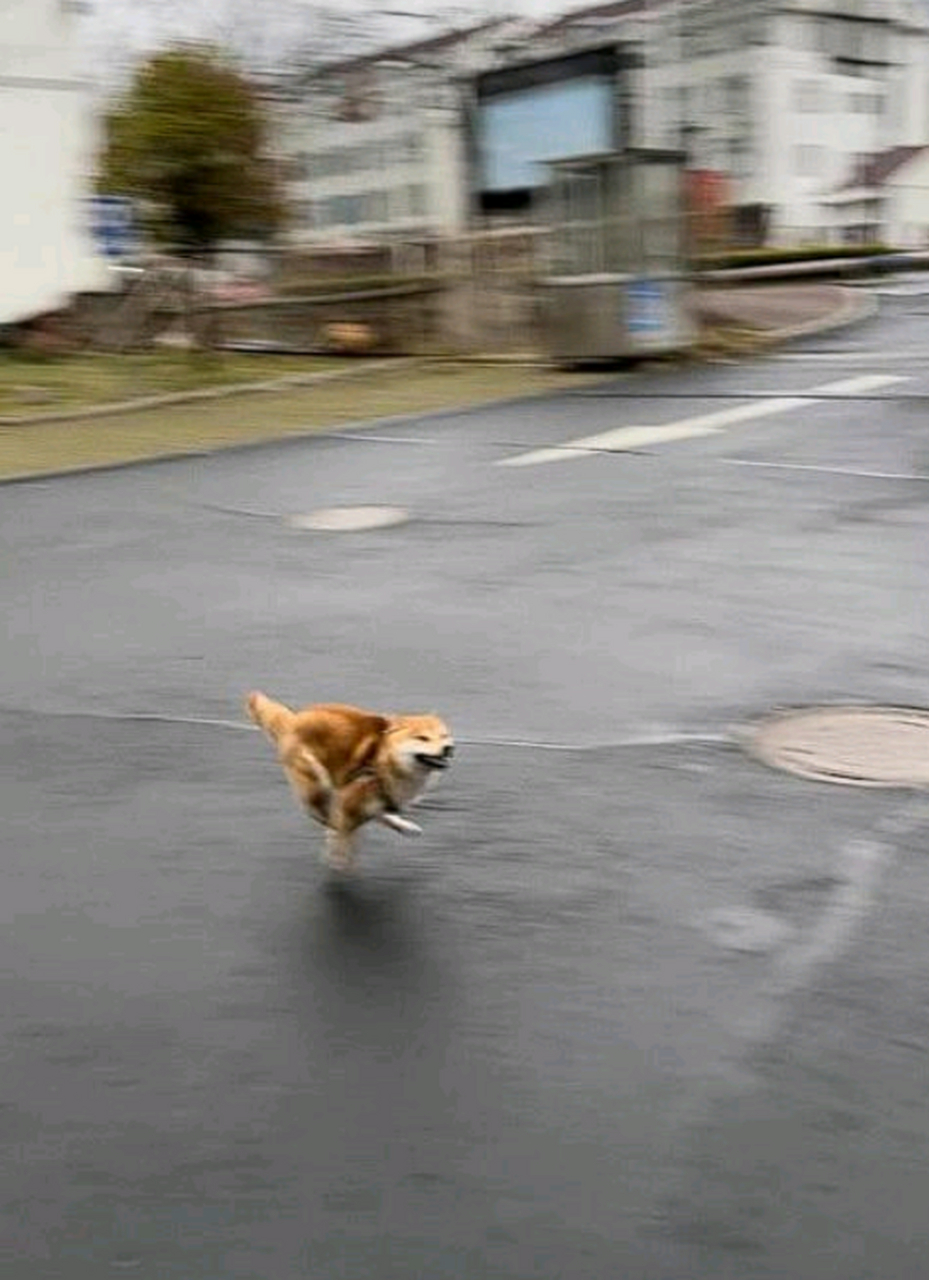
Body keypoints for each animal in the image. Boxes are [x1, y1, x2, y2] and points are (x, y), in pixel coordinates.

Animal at [245, 696, 452, 875]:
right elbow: (343, 834)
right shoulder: (351, 801)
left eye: (444, 736)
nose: (448, 748)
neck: (384, 758)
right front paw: (339, 857)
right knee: (319, 812)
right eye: (422, 738)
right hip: (316, 783)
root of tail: (294, 719)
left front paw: (401, 824)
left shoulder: (374, 798)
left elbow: (372, 816)